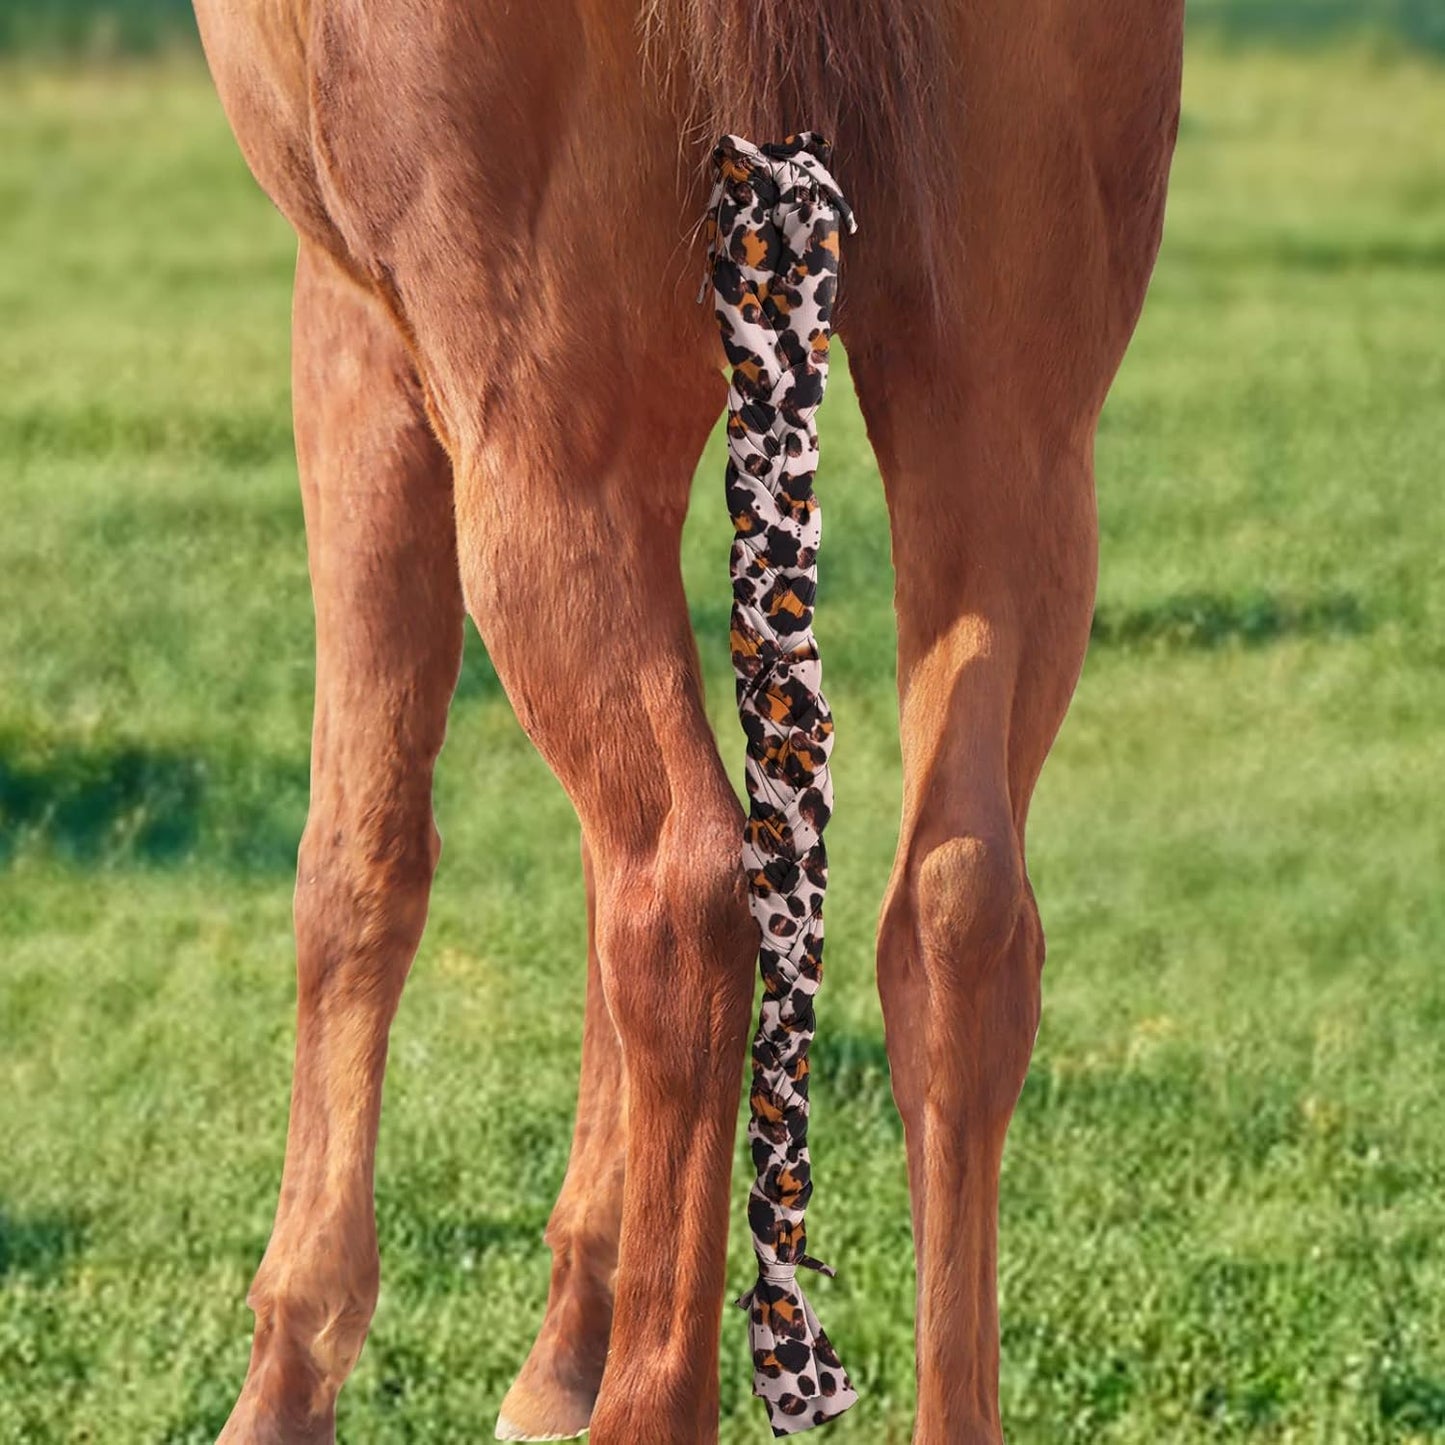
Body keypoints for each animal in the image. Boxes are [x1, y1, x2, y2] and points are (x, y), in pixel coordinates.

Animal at [190, 0, 1184, 1439]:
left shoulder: (359, 336)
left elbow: (357, 865)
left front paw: (287, 1373)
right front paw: (569, 1333)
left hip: (539, 436)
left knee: (682, 889)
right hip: (1016, 432)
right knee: (958, 912)